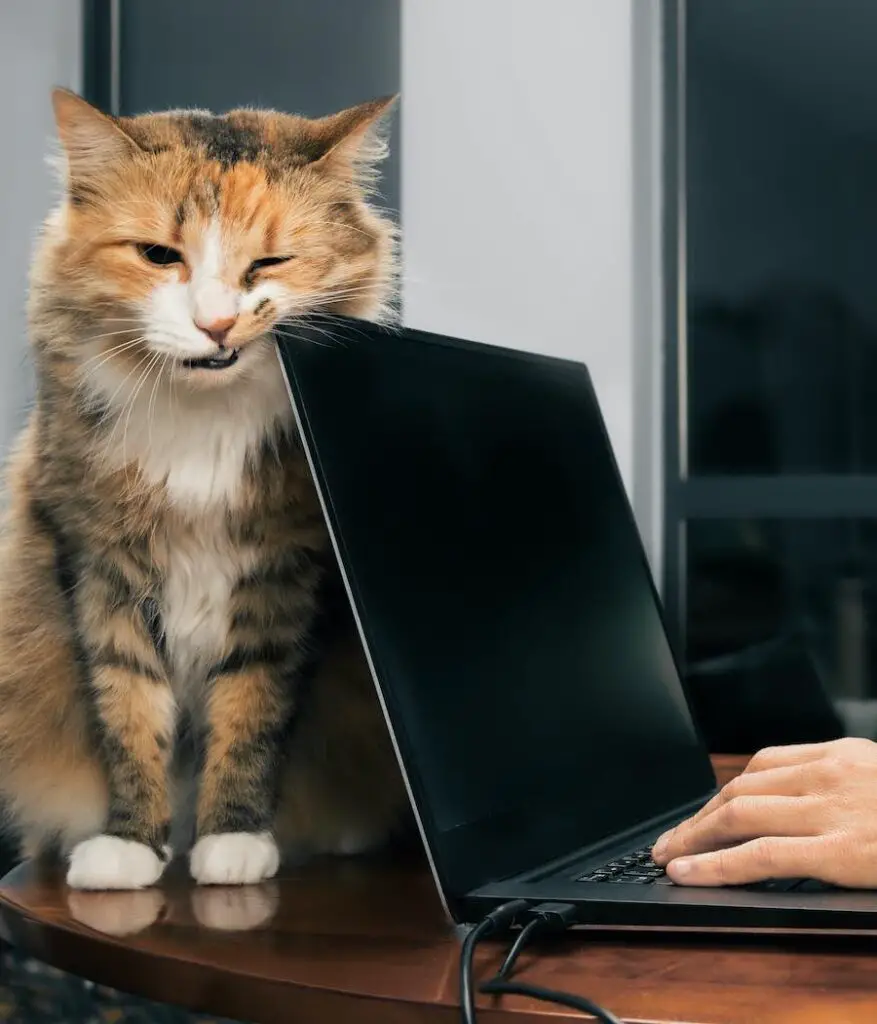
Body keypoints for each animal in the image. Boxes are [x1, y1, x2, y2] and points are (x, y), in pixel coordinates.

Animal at [0, 88, 407, 888]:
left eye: (270, 262)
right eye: (159, 256)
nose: (216, 325)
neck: (202, 423)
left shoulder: (285, 573)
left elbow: (250, 713)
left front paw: (232, 840)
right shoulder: (101, 568)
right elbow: (127, 713)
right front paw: (131, 845)